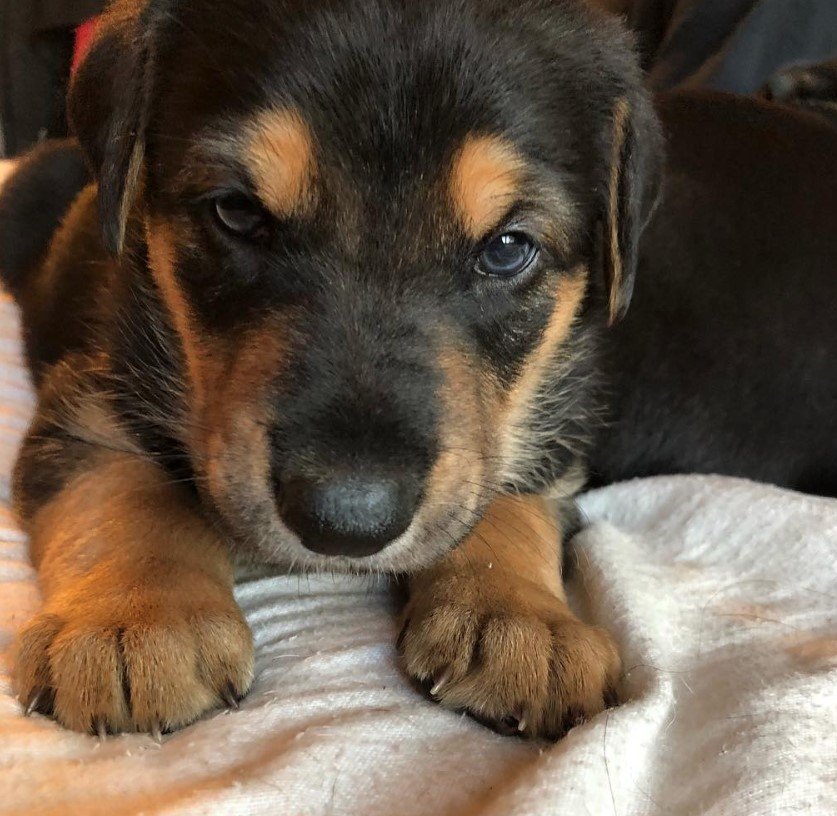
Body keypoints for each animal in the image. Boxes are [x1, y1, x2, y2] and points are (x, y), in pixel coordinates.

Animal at [0, 0, 660, 740]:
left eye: (508, 248)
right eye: (237, 211)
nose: (345, 523)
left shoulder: (551, 425)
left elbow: (506, 493)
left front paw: (524, 623)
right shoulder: (88, 391)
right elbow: (120, 484)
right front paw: (135, 618)